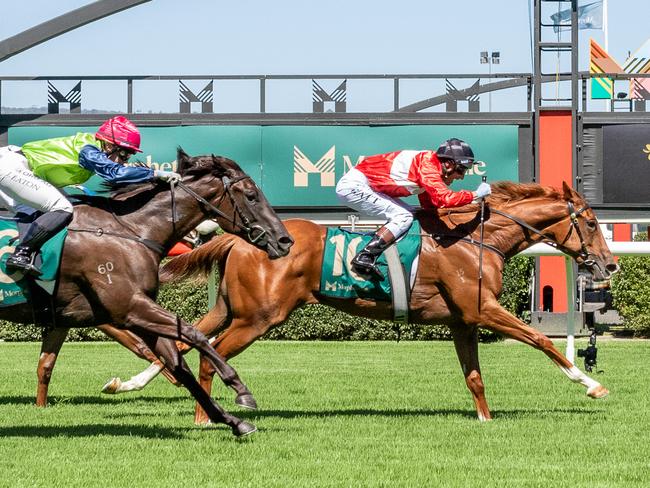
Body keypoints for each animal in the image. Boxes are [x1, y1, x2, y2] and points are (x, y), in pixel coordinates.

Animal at [2, 148, 292, 434]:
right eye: (252, 195)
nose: (285, 241)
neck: (132, 231)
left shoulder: (131, 314)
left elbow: (178, 364)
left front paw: (232, 420)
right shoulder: (129, 307)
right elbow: (193, 334)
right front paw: (240, 389)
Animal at [71, 182, 616, 424]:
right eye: (591, 222)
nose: (610, 265)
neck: (475, 240)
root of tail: (242, 239)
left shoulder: (463, 319)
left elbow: (474, 374)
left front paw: (483, 418)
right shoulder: (483, 311)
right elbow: (541, 340)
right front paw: (590, 384)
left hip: (233, 307)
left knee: (187, 338)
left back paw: (130, 383)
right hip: (260, 316)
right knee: (210, 352)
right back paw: (208, 413)